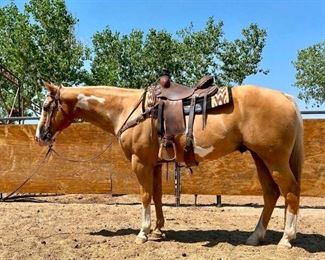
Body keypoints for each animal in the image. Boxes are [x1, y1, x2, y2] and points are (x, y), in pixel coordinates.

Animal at [34, 82, 302, 248]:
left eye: (46, 107)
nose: (40, 136)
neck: (127, 109)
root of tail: (286, 98)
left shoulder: (140, 163)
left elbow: (144, 196)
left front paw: (143, 233)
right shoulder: (153, 164)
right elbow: (157, 195)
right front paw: (158, 230)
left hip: (275, 159)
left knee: (290, 191)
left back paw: (286, 239)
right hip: (260, 158)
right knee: (271, 193)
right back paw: (256, 236)